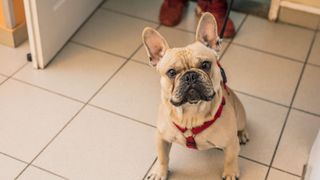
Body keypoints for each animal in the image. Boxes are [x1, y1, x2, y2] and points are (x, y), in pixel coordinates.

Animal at [142, 11, 250, 179]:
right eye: (171, 72)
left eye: (205, 65)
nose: (190, 76)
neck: (191, 113)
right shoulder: (161, 138)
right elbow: (162, 157)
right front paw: (160, 172)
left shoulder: (231, 143)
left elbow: (230, 159)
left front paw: (230, 173)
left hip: (240, 115)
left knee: (242, 126)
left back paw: (243, 134)